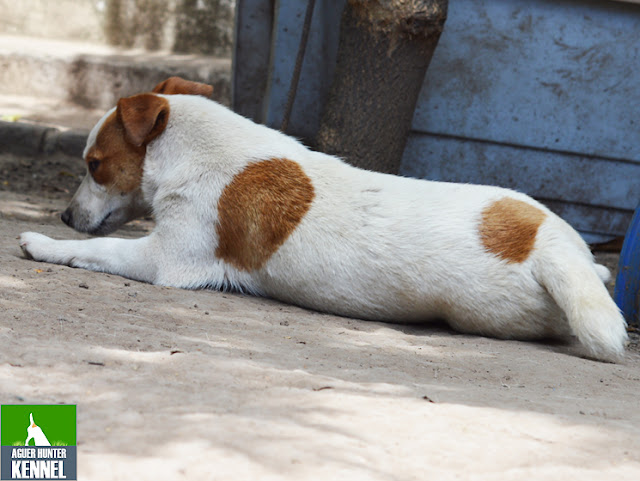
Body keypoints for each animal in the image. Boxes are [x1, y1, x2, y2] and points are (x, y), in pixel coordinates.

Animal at [18, 76, 624, 360]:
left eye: (94, 165)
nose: (64, 214)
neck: (189, 149)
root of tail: (551, 247)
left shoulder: (167, 260)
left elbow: (95, 250)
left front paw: (43, 243)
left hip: (488, 310)